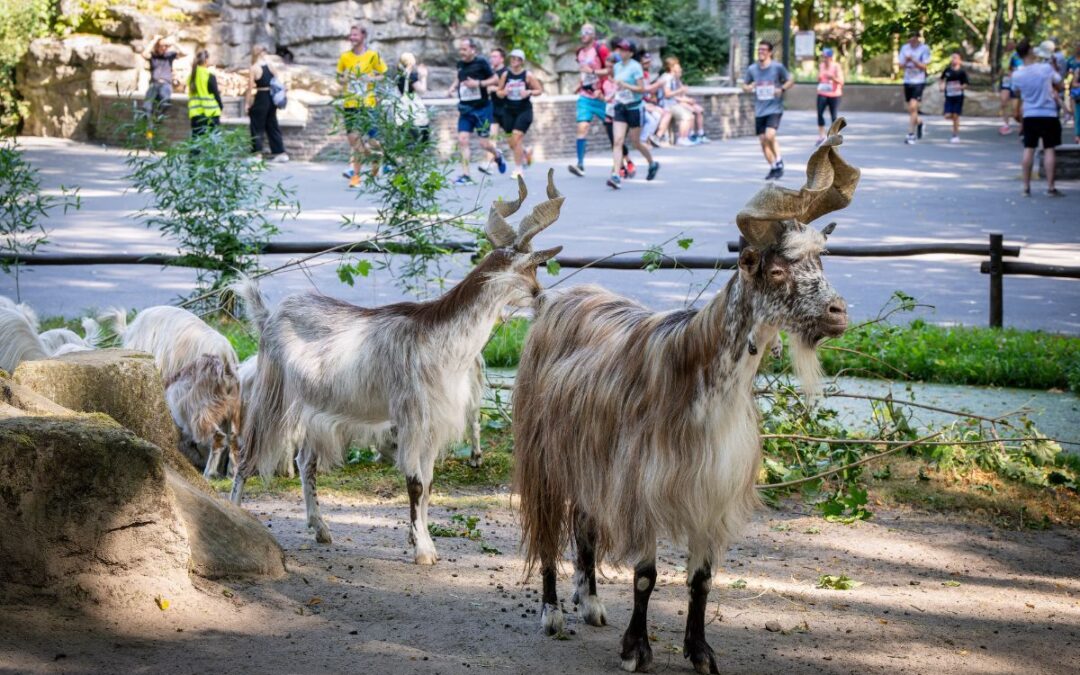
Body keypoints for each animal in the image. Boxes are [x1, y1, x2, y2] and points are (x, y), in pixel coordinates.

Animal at [230, 169, 565, 561]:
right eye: (534, 266)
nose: (542, 297)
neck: (441, 341)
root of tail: (268, 315)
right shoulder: (412, 419)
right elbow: (415, 484)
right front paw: (423, 551)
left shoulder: (434, 424)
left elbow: (430, 484)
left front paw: (423, 539)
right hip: (273, 395)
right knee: (246, 457)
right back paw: (234, 514)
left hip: (316, 409)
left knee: (305, 462)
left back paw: (322, 529)